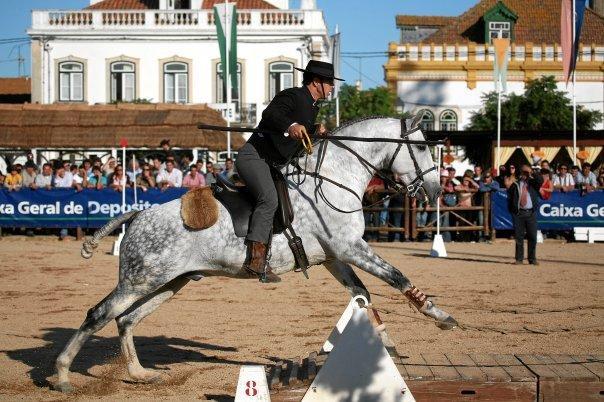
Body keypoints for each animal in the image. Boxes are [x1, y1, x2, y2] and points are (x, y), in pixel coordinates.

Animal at [53, 115, 458, 392]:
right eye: (421, 146)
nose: (436, 190)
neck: (334, 179)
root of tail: (137, 215)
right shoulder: (351, 248)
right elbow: (397, 277)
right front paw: (440, 316)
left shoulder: (335, 257)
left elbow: (362, 293)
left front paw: (384, 340)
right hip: (141, 279)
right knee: (99, 314)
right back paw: (61, 375)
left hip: (169, 282)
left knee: (125, 320)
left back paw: (138, 373)